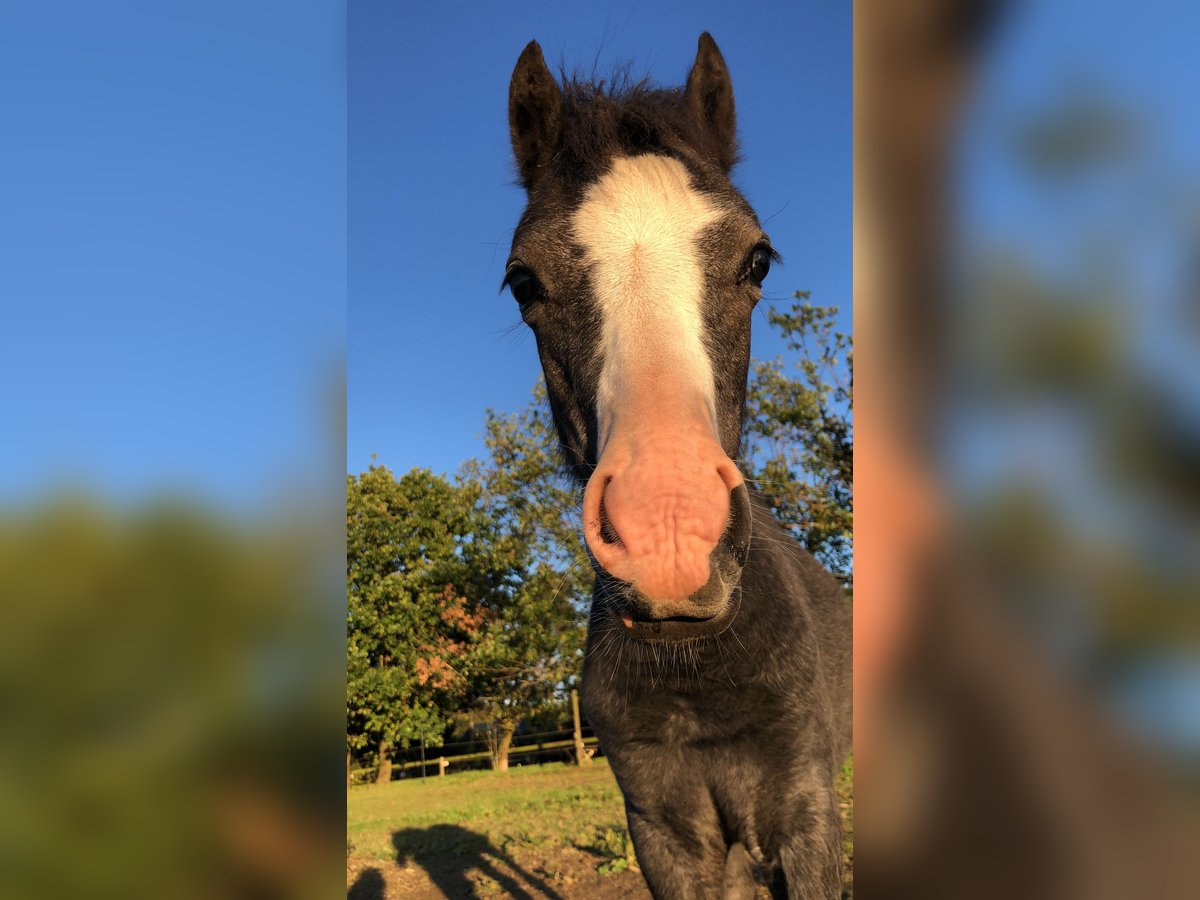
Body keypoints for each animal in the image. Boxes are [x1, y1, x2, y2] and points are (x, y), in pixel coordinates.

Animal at [506, 31, 854, 897]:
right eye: (523, 281)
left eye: (758, 261)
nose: (668, 533)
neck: (698, 673)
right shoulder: (665, 831)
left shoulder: (806, 815)